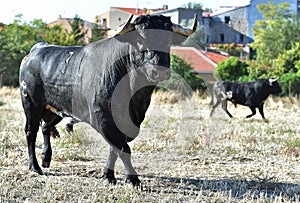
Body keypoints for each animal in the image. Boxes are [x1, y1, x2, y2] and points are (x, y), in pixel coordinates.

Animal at [18, 13, 197, 186]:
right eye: (140, 40)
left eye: (168, 41)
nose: (159, 71)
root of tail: (39, 48)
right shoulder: (102, 117)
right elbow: (123, 148)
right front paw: (133, 179)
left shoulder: (130, 121)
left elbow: (115, 148)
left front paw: (108, 175)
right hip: (32, 105)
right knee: (31, 132)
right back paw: (35, 166)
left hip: (56, 108)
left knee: (46, 127)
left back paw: (46, 159)